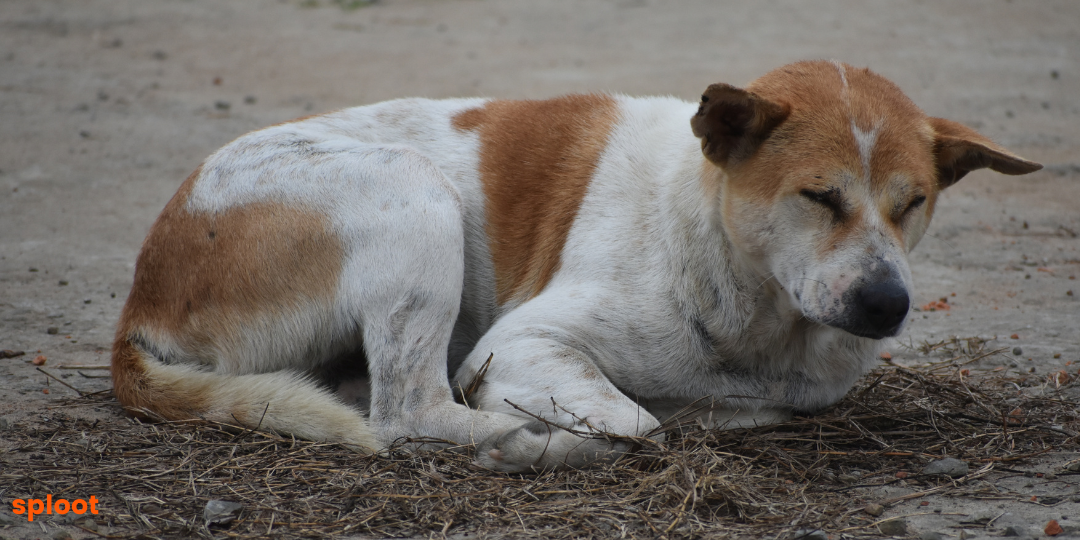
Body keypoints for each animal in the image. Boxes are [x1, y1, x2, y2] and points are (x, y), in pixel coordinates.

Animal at [109, 61, 1036, 470]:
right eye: (819, 195)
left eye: (914, 202)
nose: (886, 305)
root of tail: (139, 300)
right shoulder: (521, 345)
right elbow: (639, 422)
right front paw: (560, 432)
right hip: (412, 189)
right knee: (408, 411)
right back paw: (520, 444)